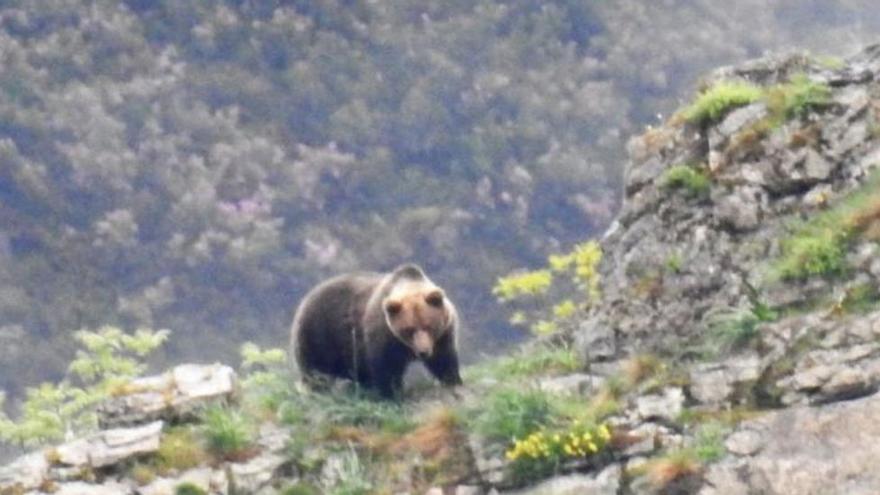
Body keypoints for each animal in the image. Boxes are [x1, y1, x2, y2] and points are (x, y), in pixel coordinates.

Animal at [292, 264, 464, 400]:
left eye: (429, 326)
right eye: (409, 329)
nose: (423, 351)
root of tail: (306, 298)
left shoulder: (443, 333)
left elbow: (443, 358)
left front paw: (453, 380)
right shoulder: (383, 334)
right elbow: (385, 368)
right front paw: (392, 394)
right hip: (320, 334)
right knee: (316, 372)